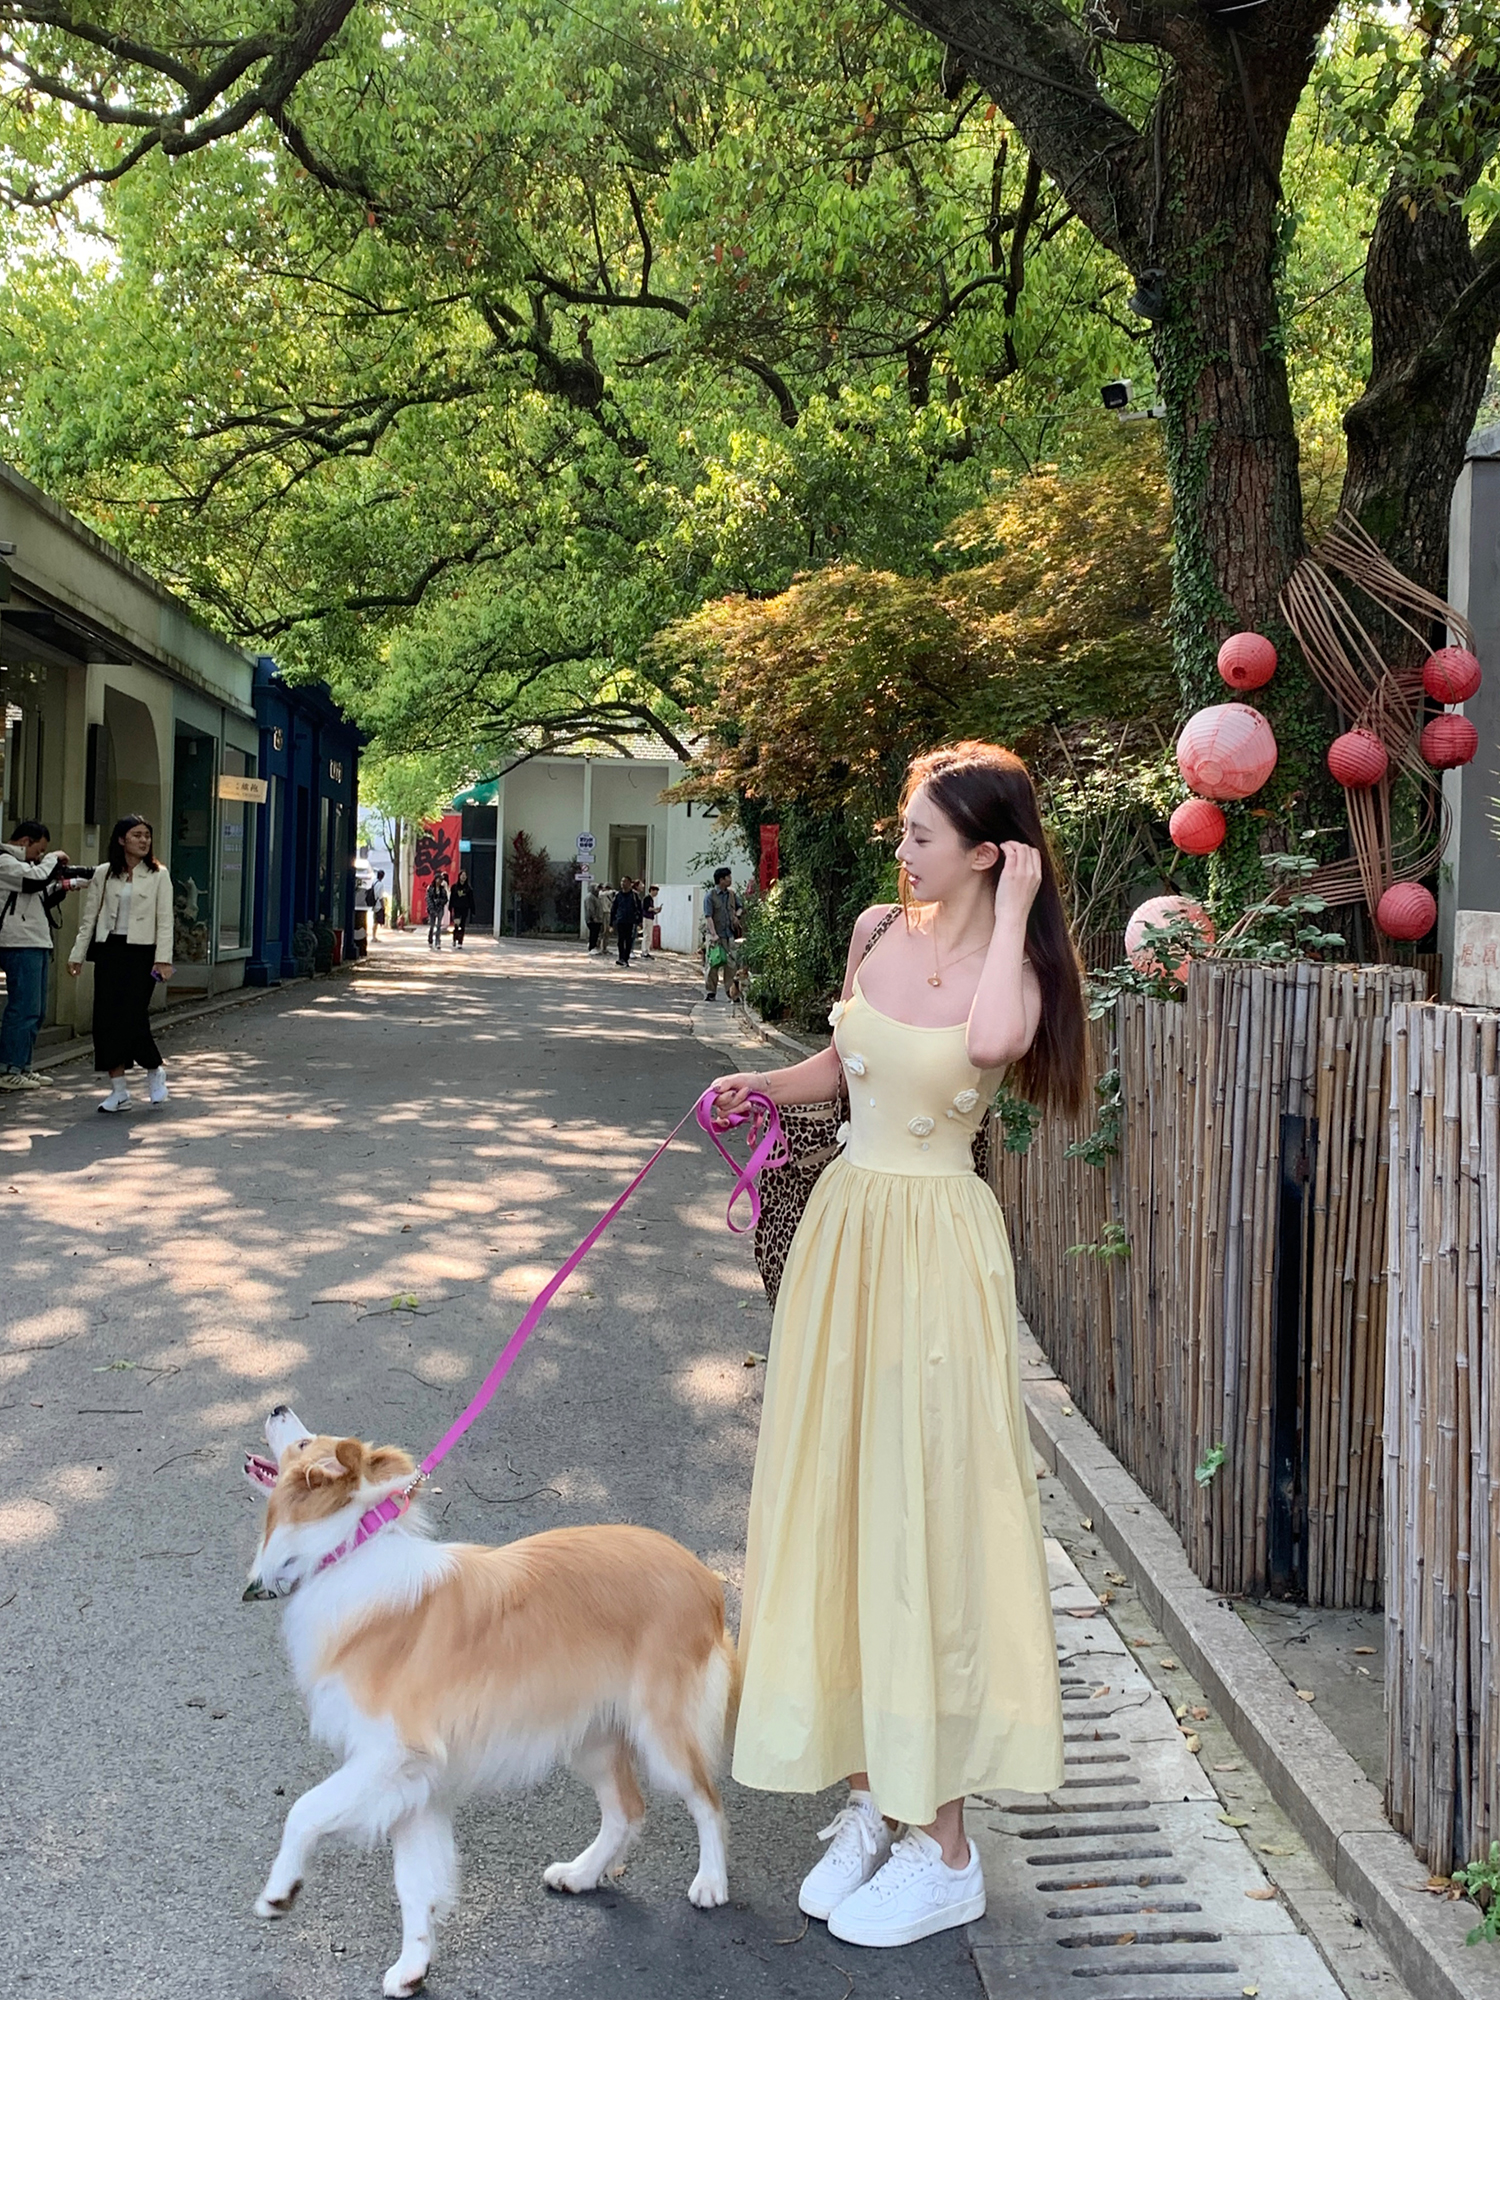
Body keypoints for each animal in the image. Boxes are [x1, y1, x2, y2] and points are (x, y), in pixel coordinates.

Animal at [244, 1406, 739, 1997]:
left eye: (302, 1443)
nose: (277, 1407)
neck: (344, 1552)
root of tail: (705, 1578)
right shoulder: (415, 1784)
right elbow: (414, 1884)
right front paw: (412, 1968)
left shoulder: (390, 1755)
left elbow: (303, 1810)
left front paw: (280, 1891)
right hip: (590, 1737)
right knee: (626, 1809)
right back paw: (582, 1875)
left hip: (660, 1731)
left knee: (707, 1801)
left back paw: (710, 1883)